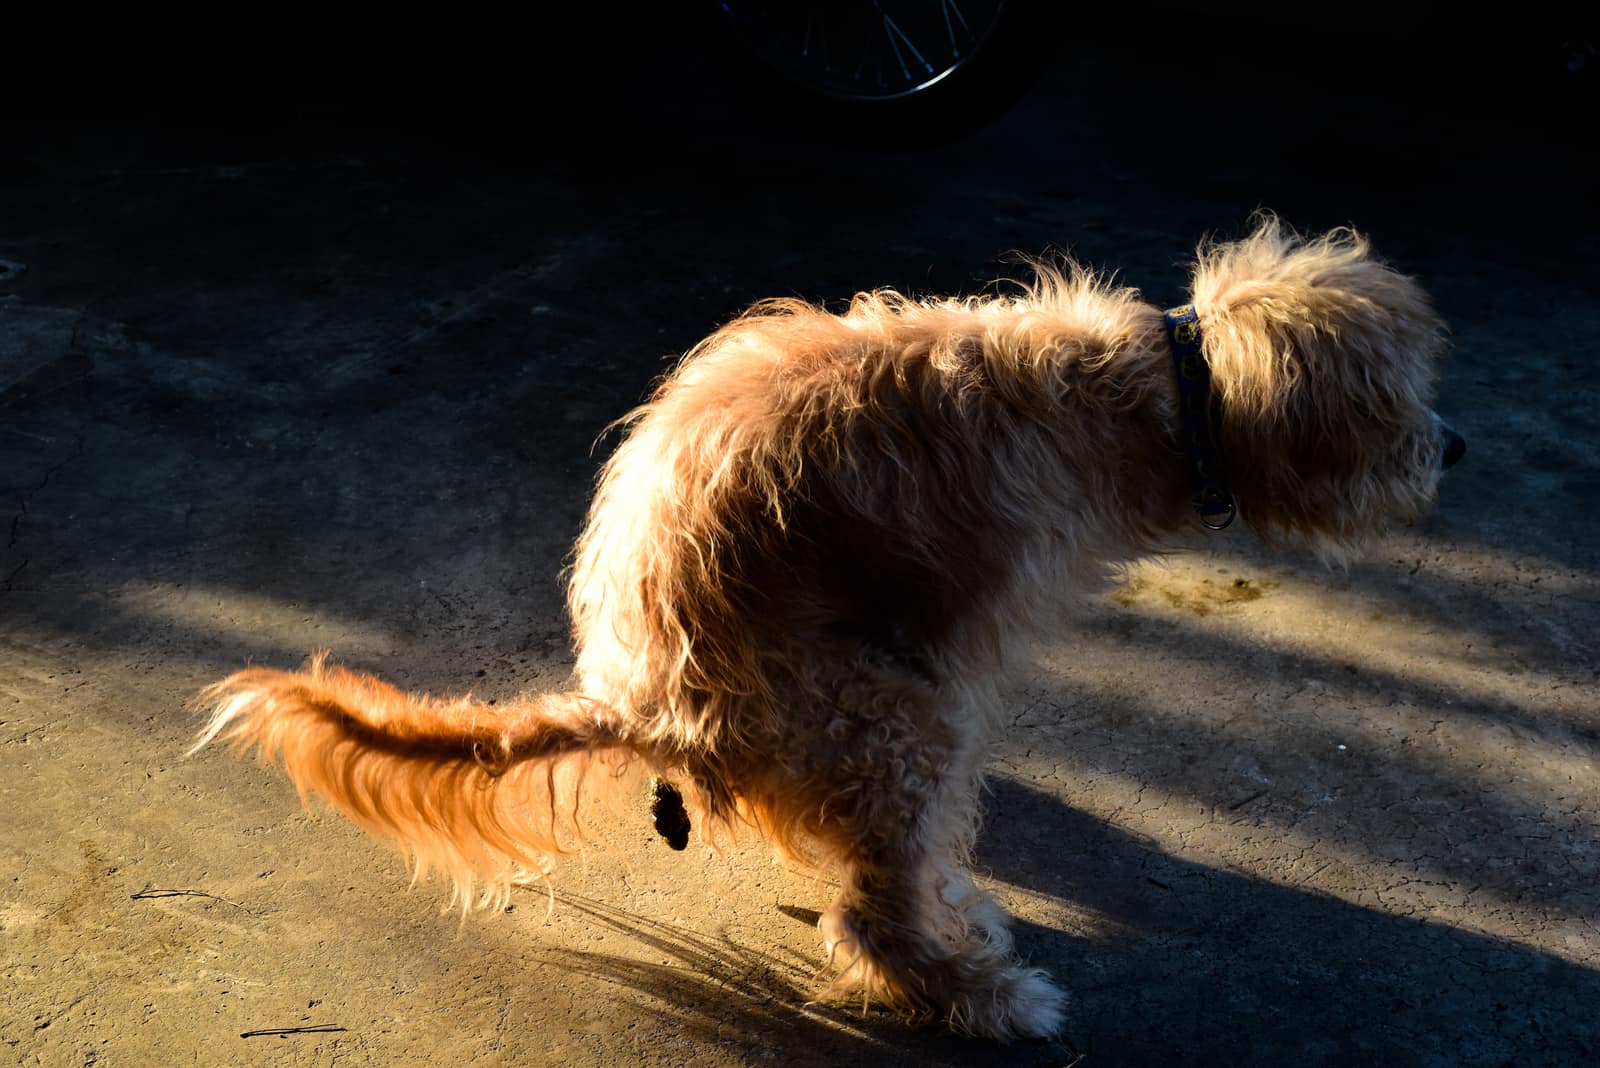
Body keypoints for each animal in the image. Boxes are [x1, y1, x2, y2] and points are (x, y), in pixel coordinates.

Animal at [190, 217, 1465, 1042]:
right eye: (1400, 402)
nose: (1453, 451)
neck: (1152, 391)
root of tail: (640, 699)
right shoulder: (950, 629)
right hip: (895, 721)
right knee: (870, 917)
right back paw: (982, 994)